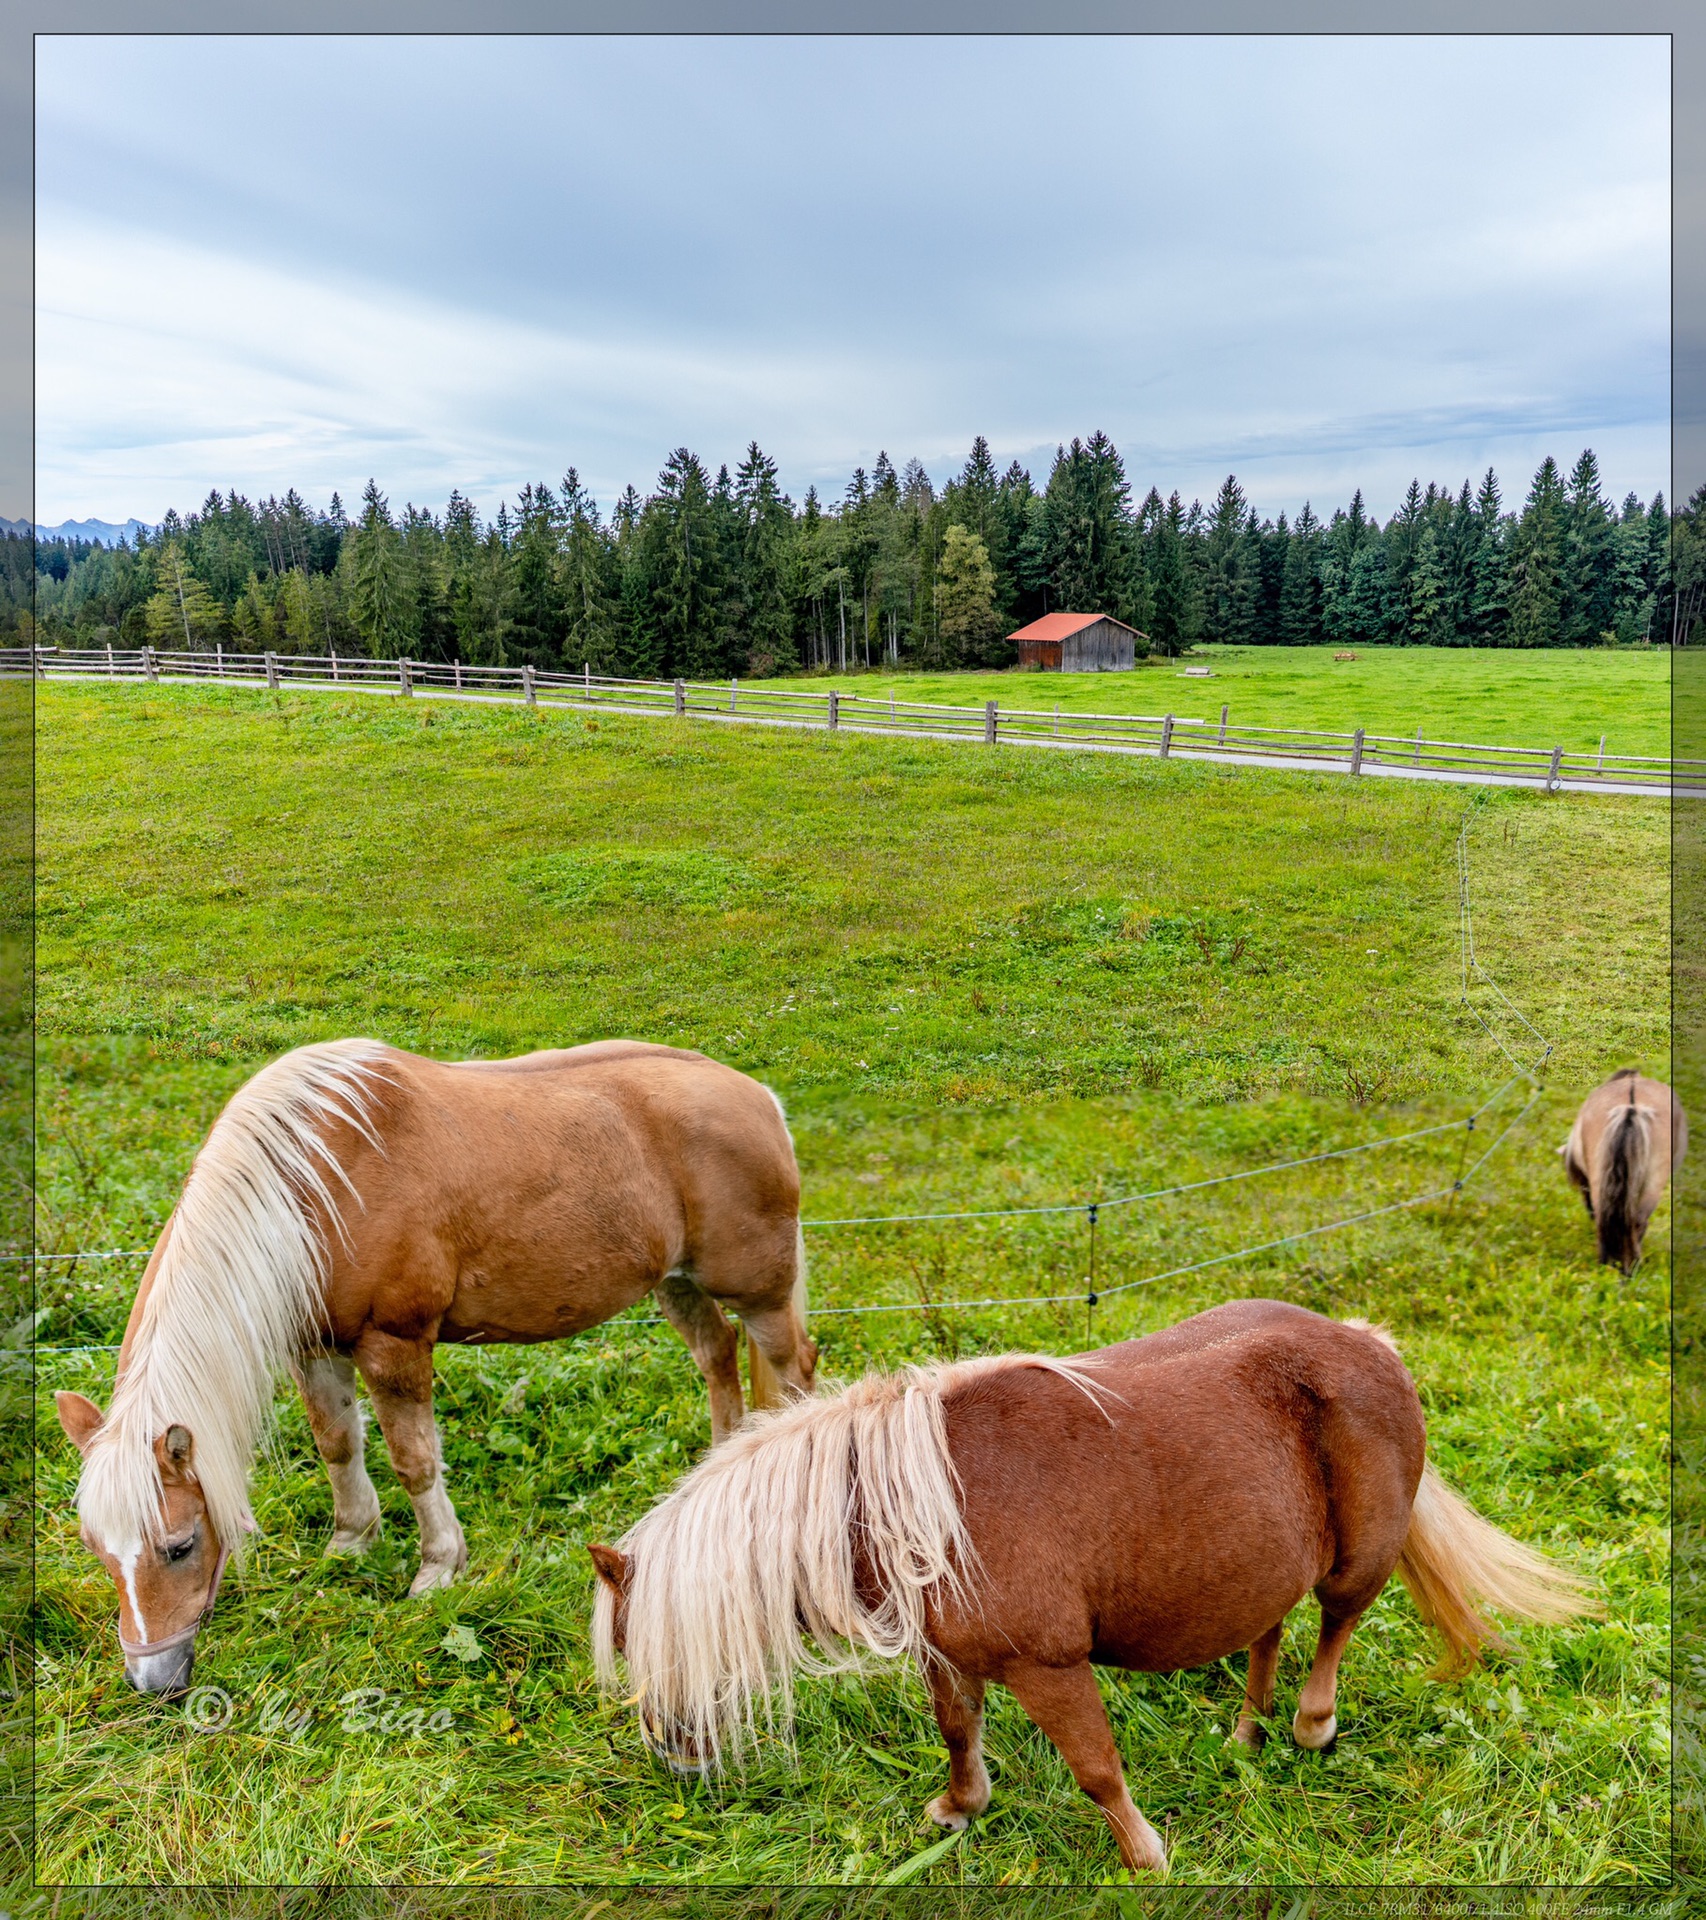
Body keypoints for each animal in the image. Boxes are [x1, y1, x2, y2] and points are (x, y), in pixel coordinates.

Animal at [56, 1036, 813, 1697]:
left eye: (180, 1545)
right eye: (97, 1548)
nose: (153, 1680)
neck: (315, 1184)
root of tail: (758, 1096)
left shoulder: (394, 1343)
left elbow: (413, 1461)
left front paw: (438, 1568)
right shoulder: (315, 1348)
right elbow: (338, 1445)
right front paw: (351, 1542)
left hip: (760, 1293)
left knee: (793, 1367)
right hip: (675, 1282)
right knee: (715, 1354)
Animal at [591, 1297, 1588, 1866]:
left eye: (644, 1651)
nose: (674, 1759)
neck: (927, 1507)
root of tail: (1365, 1342)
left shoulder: (1049, 1667)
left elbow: (1096, 1769)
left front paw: (1147, 1858)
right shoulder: (951, 1659)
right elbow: (958, 1735)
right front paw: (959, 1810)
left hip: (1359, 1559)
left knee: (1335, 1625)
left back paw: (1309, 1727)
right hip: (1260, 1559)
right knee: (1268, 1629)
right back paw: (1246, 1734)